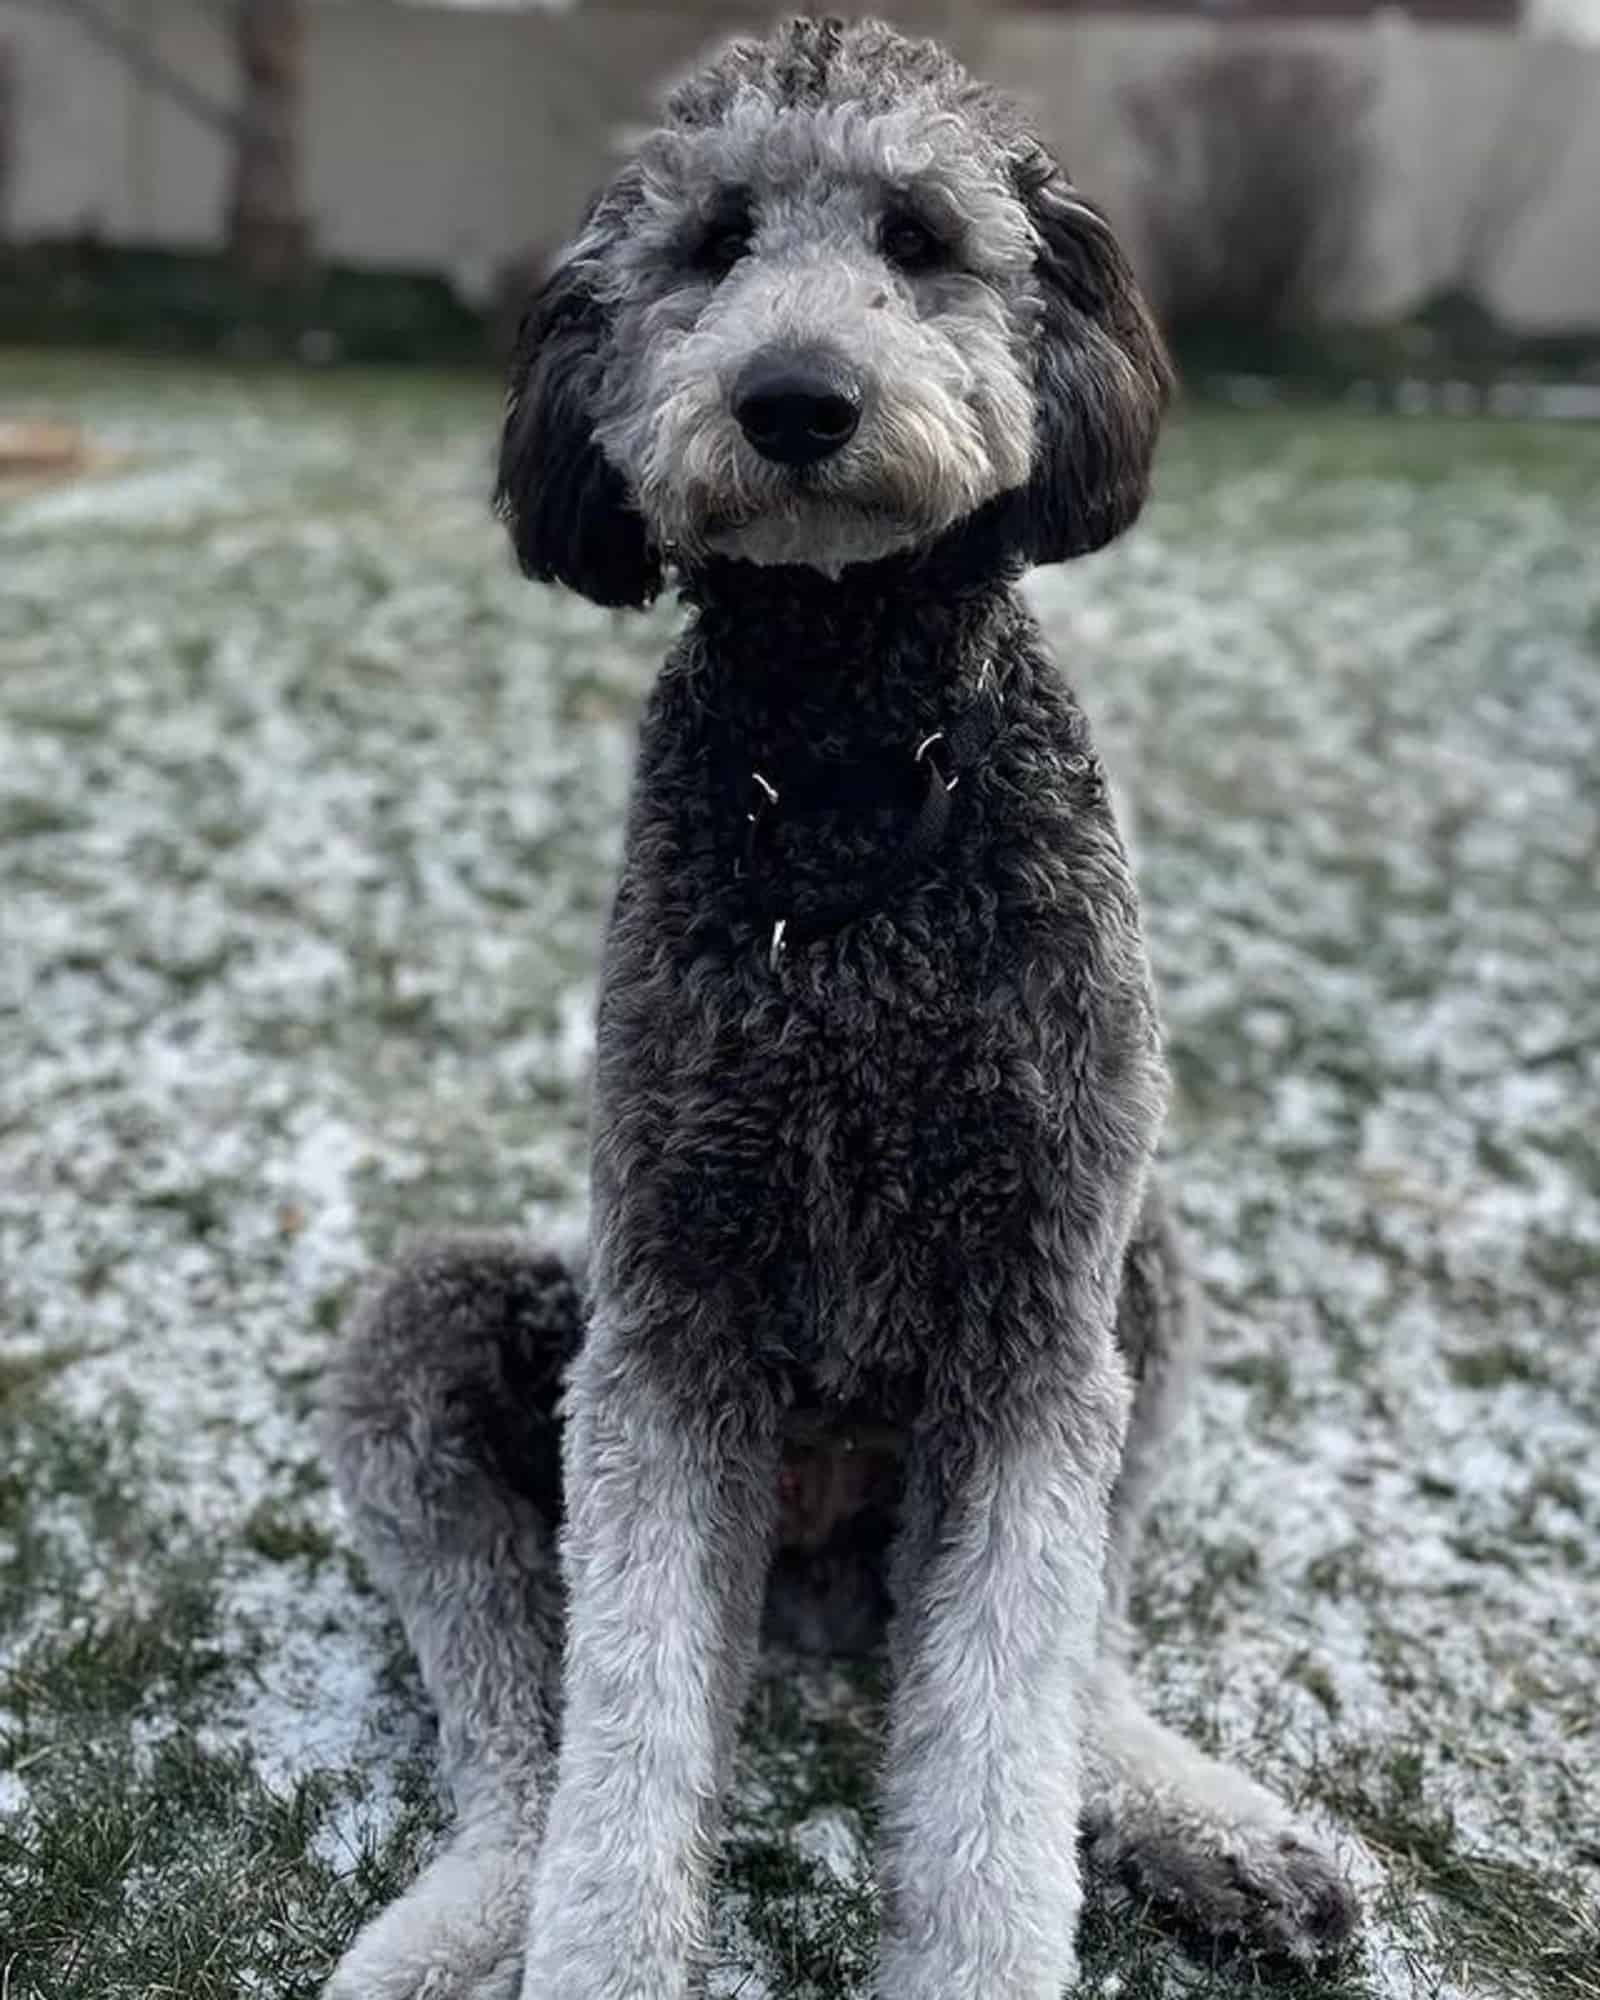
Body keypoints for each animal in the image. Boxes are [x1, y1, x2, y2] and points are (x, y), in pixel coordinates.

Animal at [318, 19, 1360, 2000]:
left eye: (920, 237)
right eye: (715, 241)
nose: (796, 398)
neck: (854, 779)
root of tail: (813, 1587)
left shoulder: (1035, 1334)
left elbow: (997, 1771)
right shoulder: (668, 1332)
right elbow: (628, 1755)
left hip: (1142, 1280)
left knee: (1072, 1676)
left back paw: (1213, 1831)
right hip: (441, 1336)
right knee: (524, 1740)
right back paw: (460, 1922)